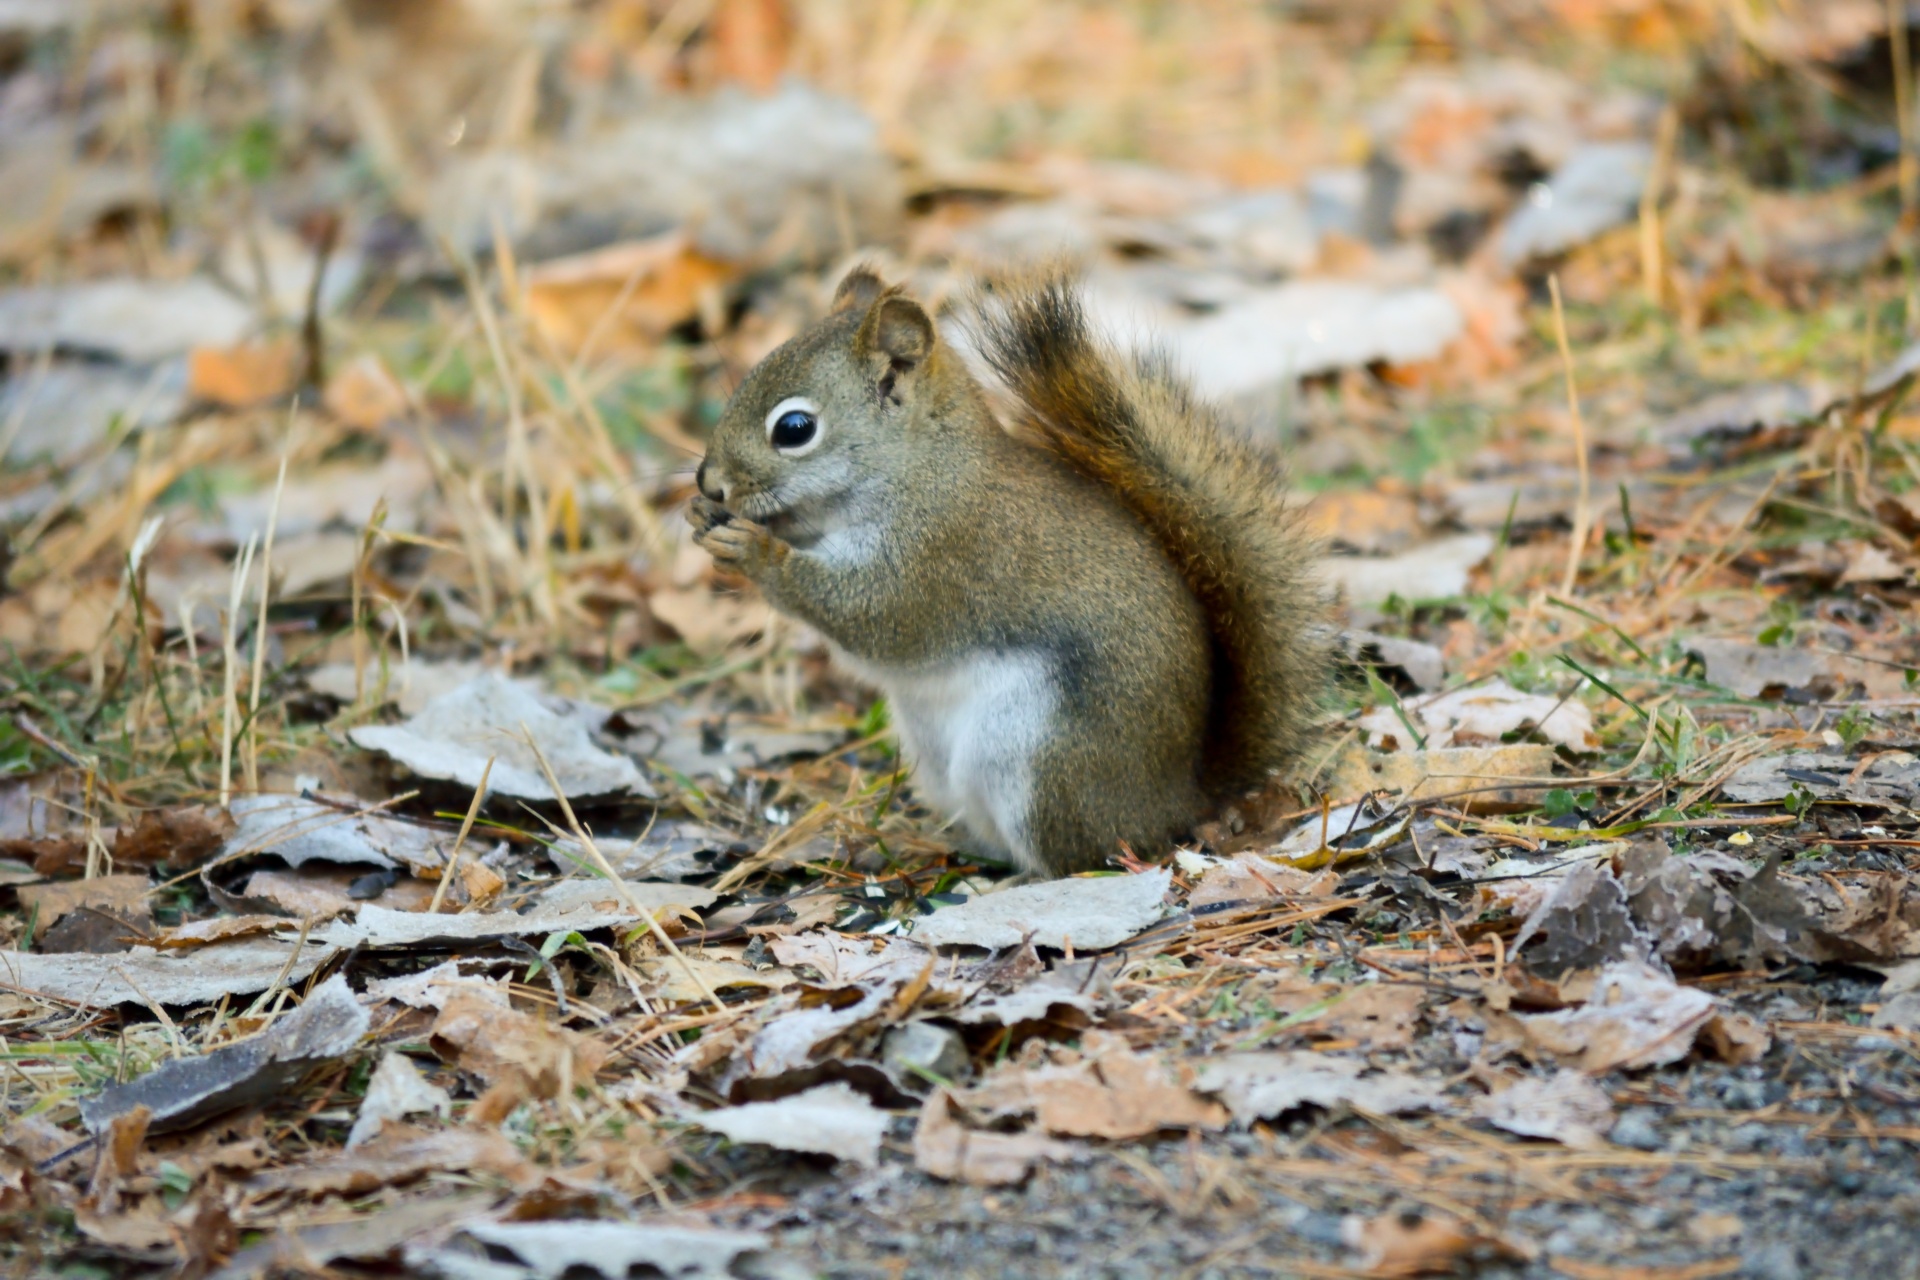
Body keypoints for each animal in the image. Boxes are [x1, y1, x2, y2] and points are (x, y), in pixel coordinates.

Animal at [691, 268, 1336, 882]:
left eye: (794, 428)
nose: (709, 483)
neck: (919, 466)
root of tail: (1179, 800)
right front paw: (704, 520)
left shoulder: (939, 554)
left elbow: (872, 618)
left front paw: (755, 551)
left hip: (1040, 762)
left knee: (1078, 855)